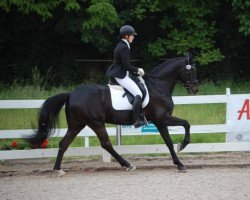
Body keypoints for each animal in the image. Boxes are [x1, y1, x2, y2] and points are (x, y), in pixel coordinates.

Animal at [26, 55, 198, 173]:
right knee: (106, 143)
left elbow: (172, 138)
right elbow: (183, 127)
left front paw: (179, 159)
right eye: (192, 70)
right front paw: (182, 150)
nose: (195, 89)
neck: (158, 85)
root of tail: (71, 94)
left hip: (77, 124)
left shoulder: (161, 121)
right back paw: (127, 164)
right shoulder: (162, 119)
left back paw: (57, 169)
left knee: (64, 143)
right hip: (96, 123)